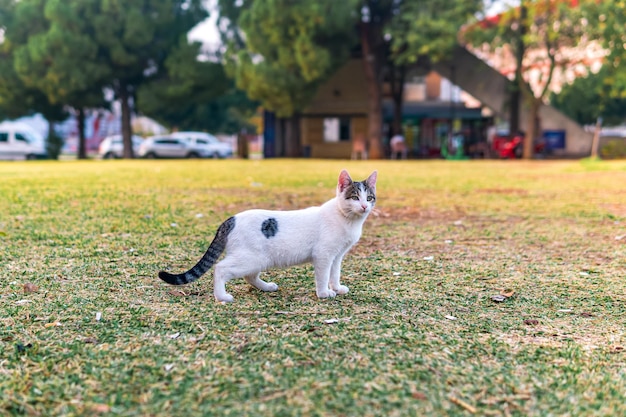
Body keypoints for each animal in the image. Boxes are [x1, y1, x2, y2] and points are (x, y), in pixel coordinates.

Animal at [158, 169, 378, 302]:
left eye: (369, 197)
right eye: (354, 197)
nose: (364, 206)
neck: (348, 220)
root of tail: (231, 219)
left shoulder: (337, 256)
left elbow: (334, 274)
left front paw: (337, 288)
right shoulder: (324, 255)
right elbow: (323, 276)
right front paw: (324, 293)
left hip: (259, 259)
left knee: (249, 276)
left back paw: (266, 287)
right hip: (250, 258)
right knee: (220, 268)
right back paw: (222, 296)